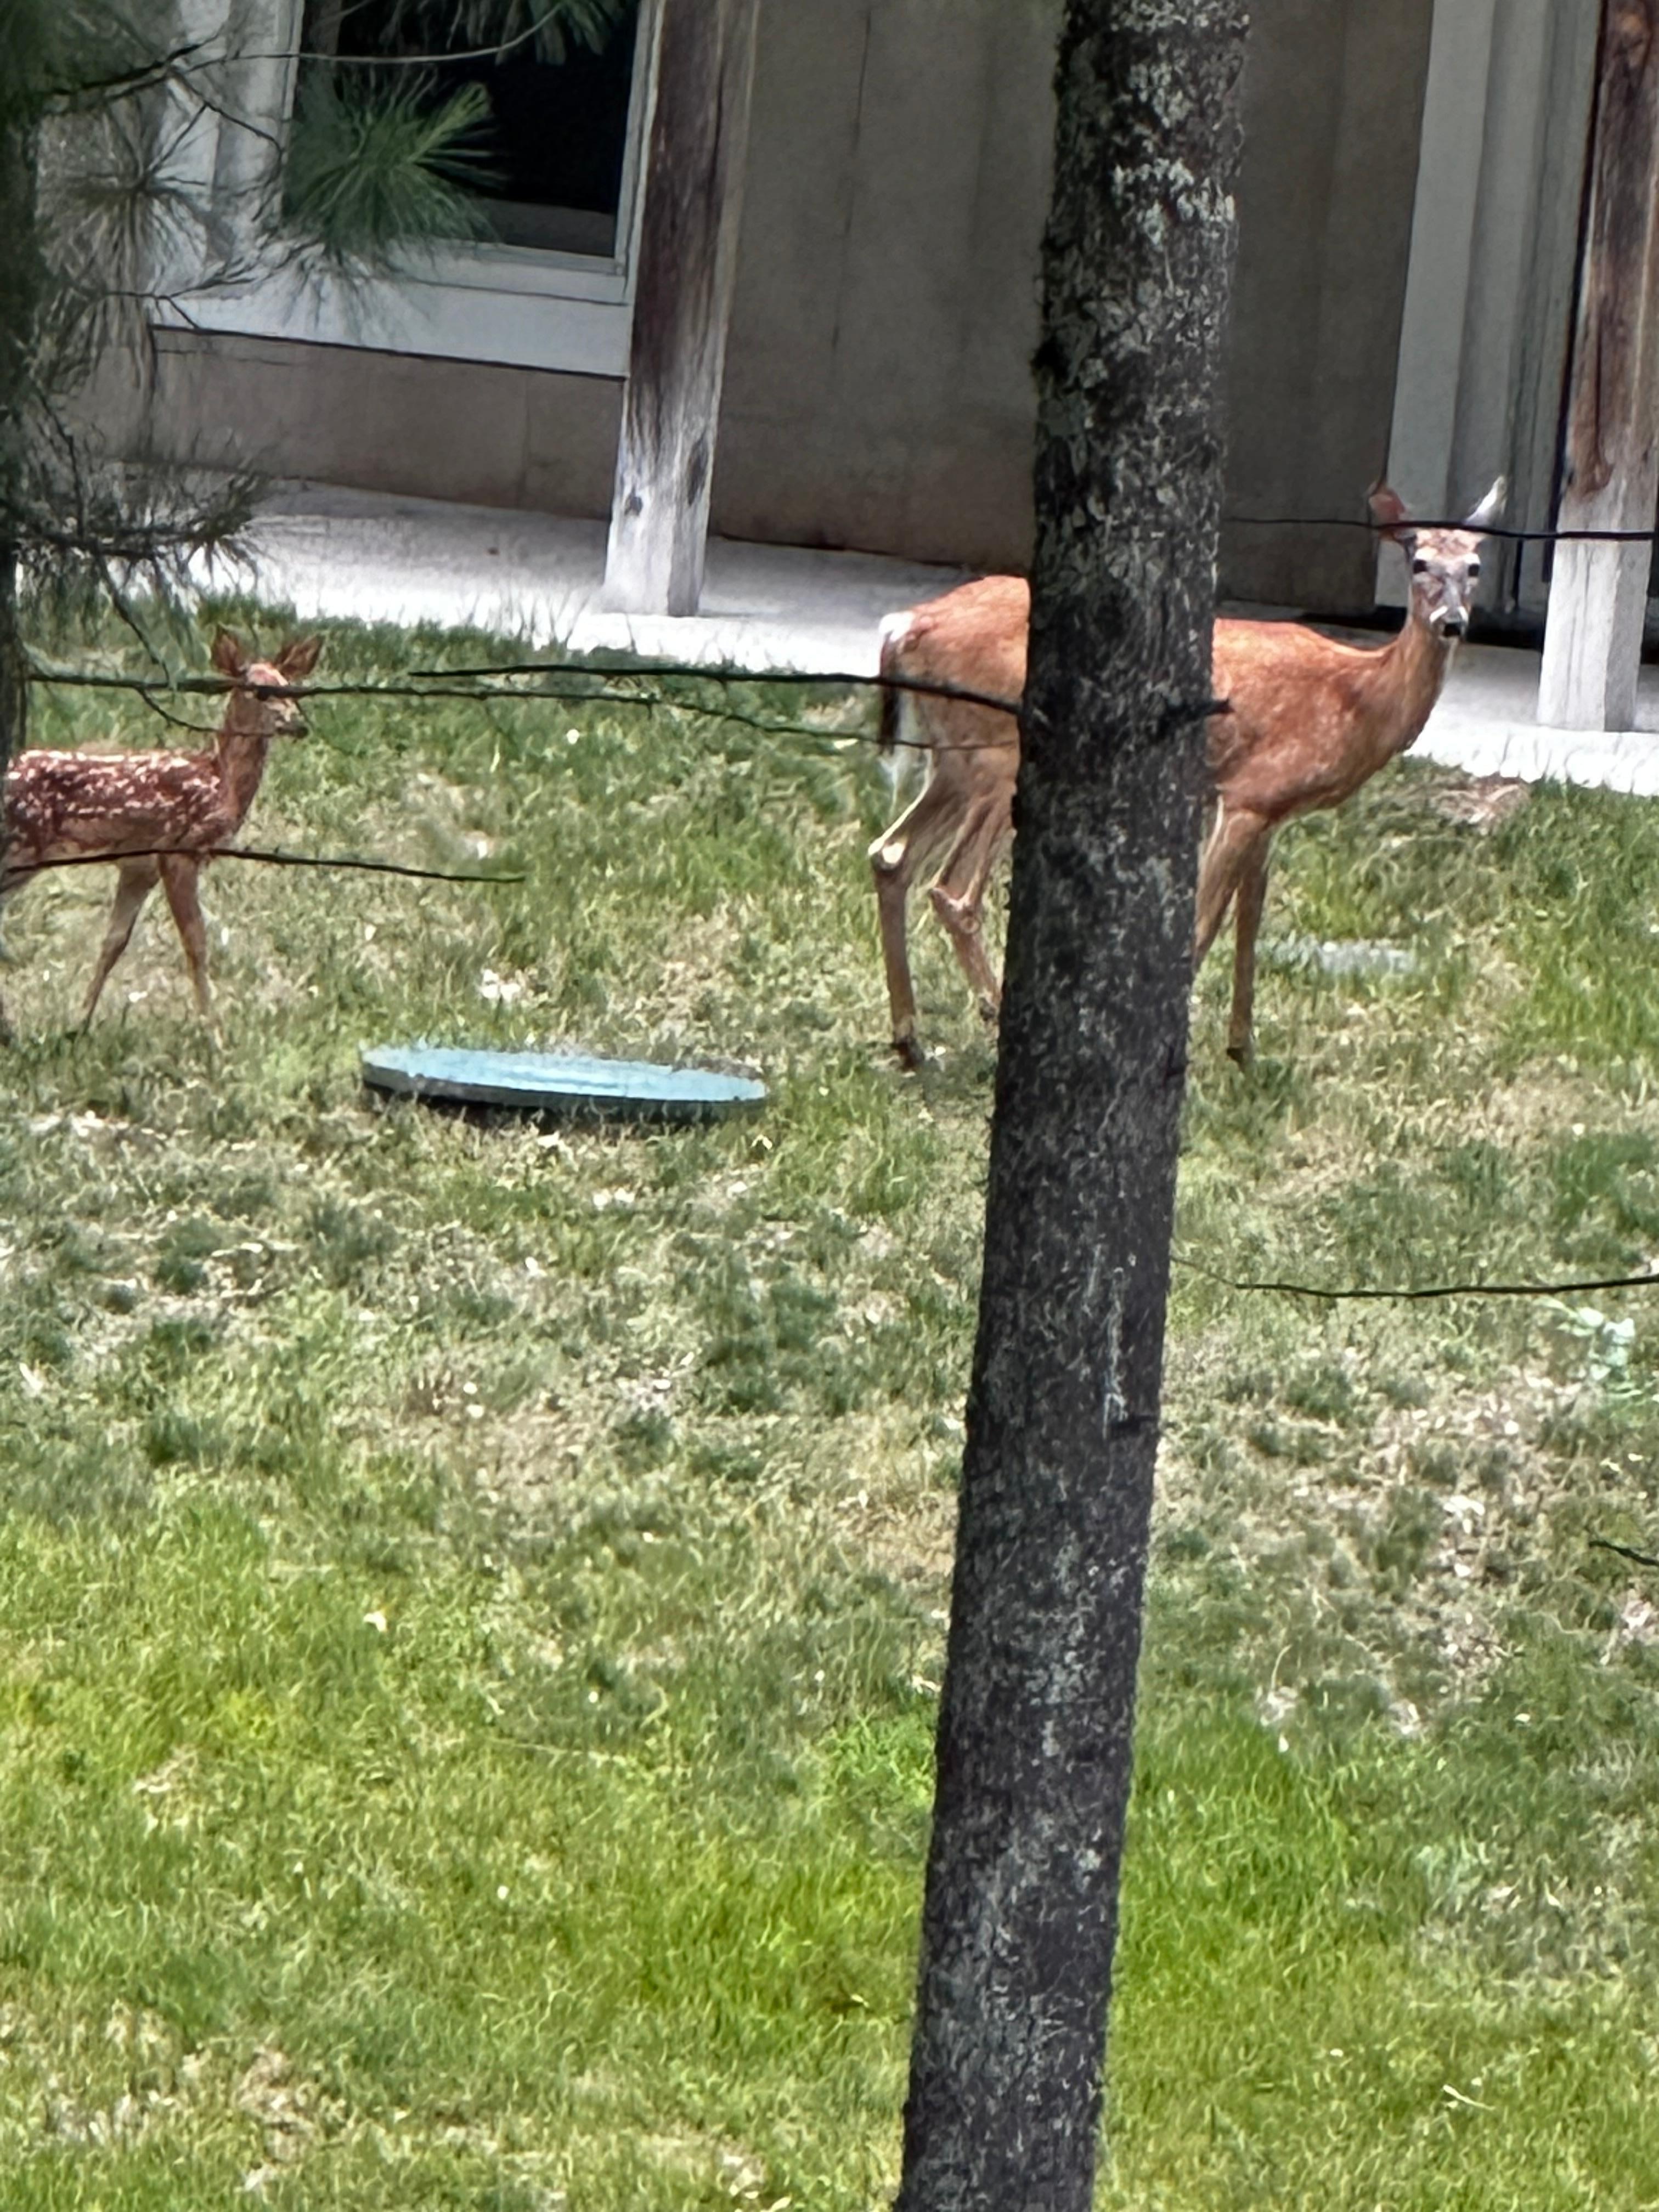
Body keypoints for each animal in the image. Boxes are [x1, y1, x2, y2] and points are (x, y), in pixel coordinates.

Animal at [0, 629, 322, 1041]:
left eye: (293, 688)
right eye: (260, 692)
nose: (300, 725)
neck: (222, 781)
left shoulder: (140, 865)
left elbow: (114, 942)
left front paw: (79, 1025)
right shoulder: (178, 851)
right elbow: (196, 942)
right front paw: (213, 1034)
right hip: (22, 846)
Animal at [868, 480, 1504, 1067]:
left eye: (1475, 566)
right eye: (1420, 563)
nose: (1452, 621)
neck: (1360, 698)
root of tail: (906, 626)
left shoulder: (1271, 810)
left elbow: (1250, 927)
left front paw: (1243, 1052)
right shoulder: (1247, 796)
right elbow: (1203, 927)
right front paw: (1179, 1056)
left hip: (952, 757)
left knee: (890, 854)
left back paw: (910, 1038)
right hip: (1001, 751)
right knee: (952, 890)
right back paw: (991, 1015)